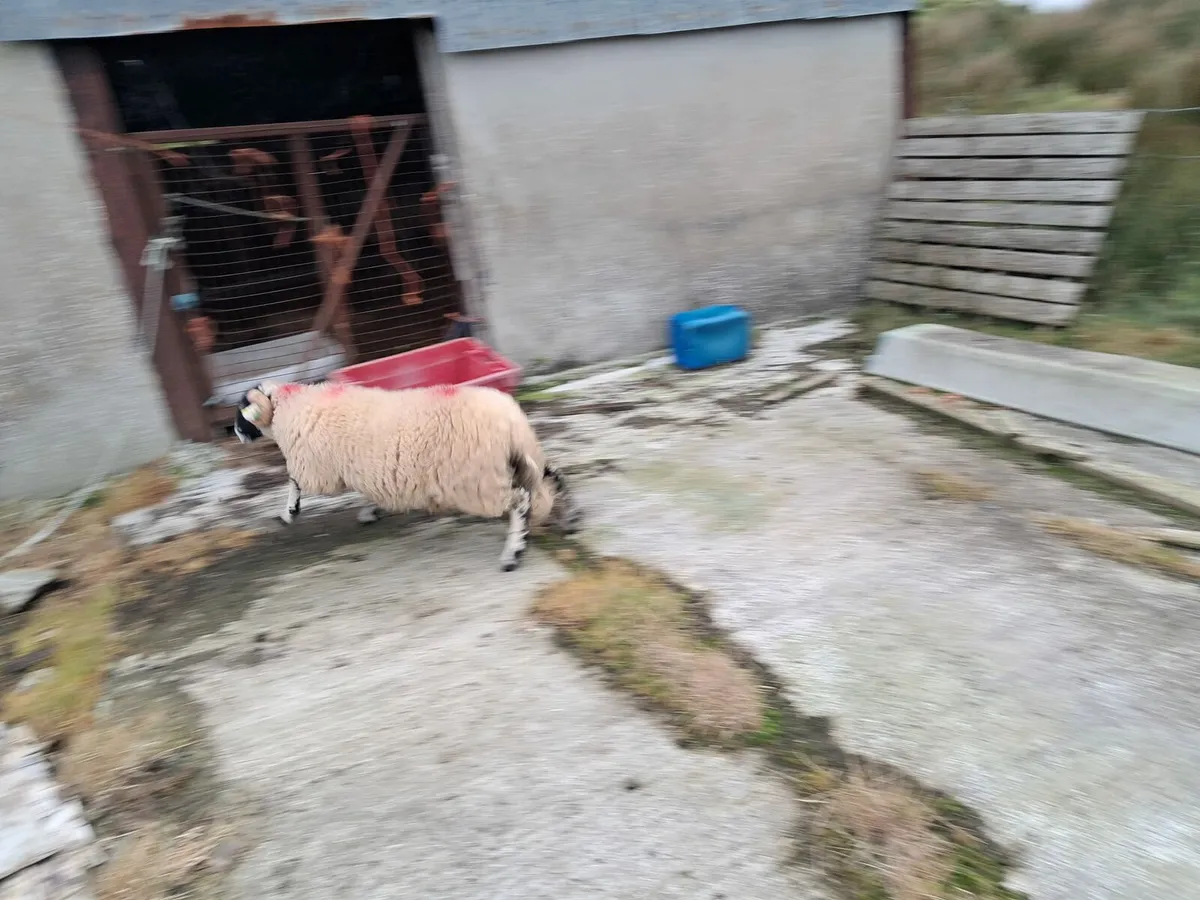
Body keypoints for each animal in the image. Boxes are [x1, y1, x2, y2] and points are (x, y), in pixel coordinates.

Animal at [232, 379, 580, 571]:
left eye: (242, 411)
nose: (236, 433)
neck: (290, 405)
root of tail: (511, 422)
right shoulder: (366, 468)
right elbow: (369, 491)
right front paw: (369, 511)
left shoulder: (315, 469)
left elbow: (293, 483)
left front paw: (288, 514)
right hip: (516, 461)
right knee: (551, 476)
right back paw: (571, 518)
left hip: (479, 481)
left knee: (520, 501)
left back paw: (513, 553)